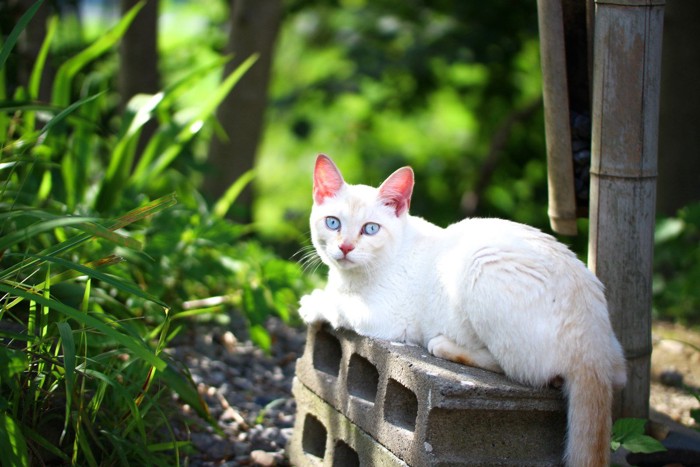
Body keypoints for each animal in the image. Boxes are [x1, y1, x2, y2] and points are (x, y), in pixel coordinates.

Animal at [298, 154, 628, 467]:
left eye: (370, 229)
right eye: (333, 223)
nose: (345, 248)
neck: (351, 279)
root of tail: (595, 349)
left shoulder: (385, 317)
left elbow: (338, 306)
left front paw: (312, 302)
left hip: (481, 266)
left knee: (522, 370)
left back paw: (442, 344)